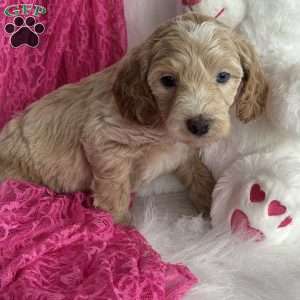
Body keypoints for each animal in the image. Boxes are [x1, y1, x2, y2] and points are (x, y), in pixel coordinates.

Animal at [0, 14, 268, 223]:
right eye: (168, 80)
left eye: (223, 76)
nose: (199, 125)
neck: (161, 124)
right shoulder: (104, 142)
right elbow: (115, 193)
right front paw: (122, 228)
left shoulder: (184, 151)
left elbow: (197, 173)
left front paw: (210, 205)